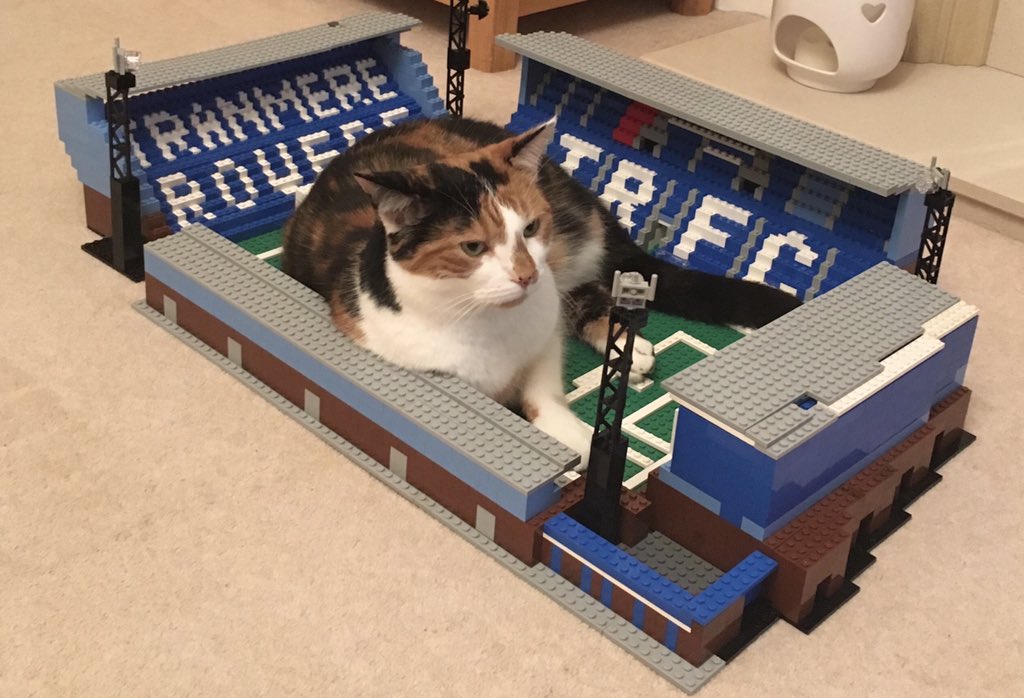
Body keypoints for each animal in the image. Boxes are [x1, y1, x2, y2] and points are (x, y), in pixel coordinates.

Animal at [281, 116, 800, 468]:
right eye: (473, 247)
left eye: (529, 228)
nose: (528, 275)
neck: (487, 324)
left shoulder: (545, 338)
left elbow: (541, 393)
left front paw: (577, 440)